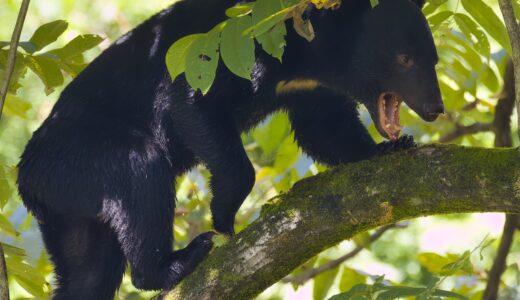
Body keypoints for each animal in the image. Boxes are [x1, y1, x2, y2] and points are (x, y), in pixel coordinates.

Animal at [16, 0, 442, 298]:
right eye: (404, 59)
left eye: (433, 59)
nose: (435, 109)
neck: (304, 52)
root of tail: (29, 180)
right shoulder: (236, 48)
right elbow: (190, 101)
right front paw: (222, 217)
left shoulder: (307, 87)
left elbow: (325, 125)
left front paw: (389, 149)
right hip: (86, 157)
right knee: (142, 175)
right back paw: (181, 259)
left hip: (71, 206)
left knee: (87, 273)